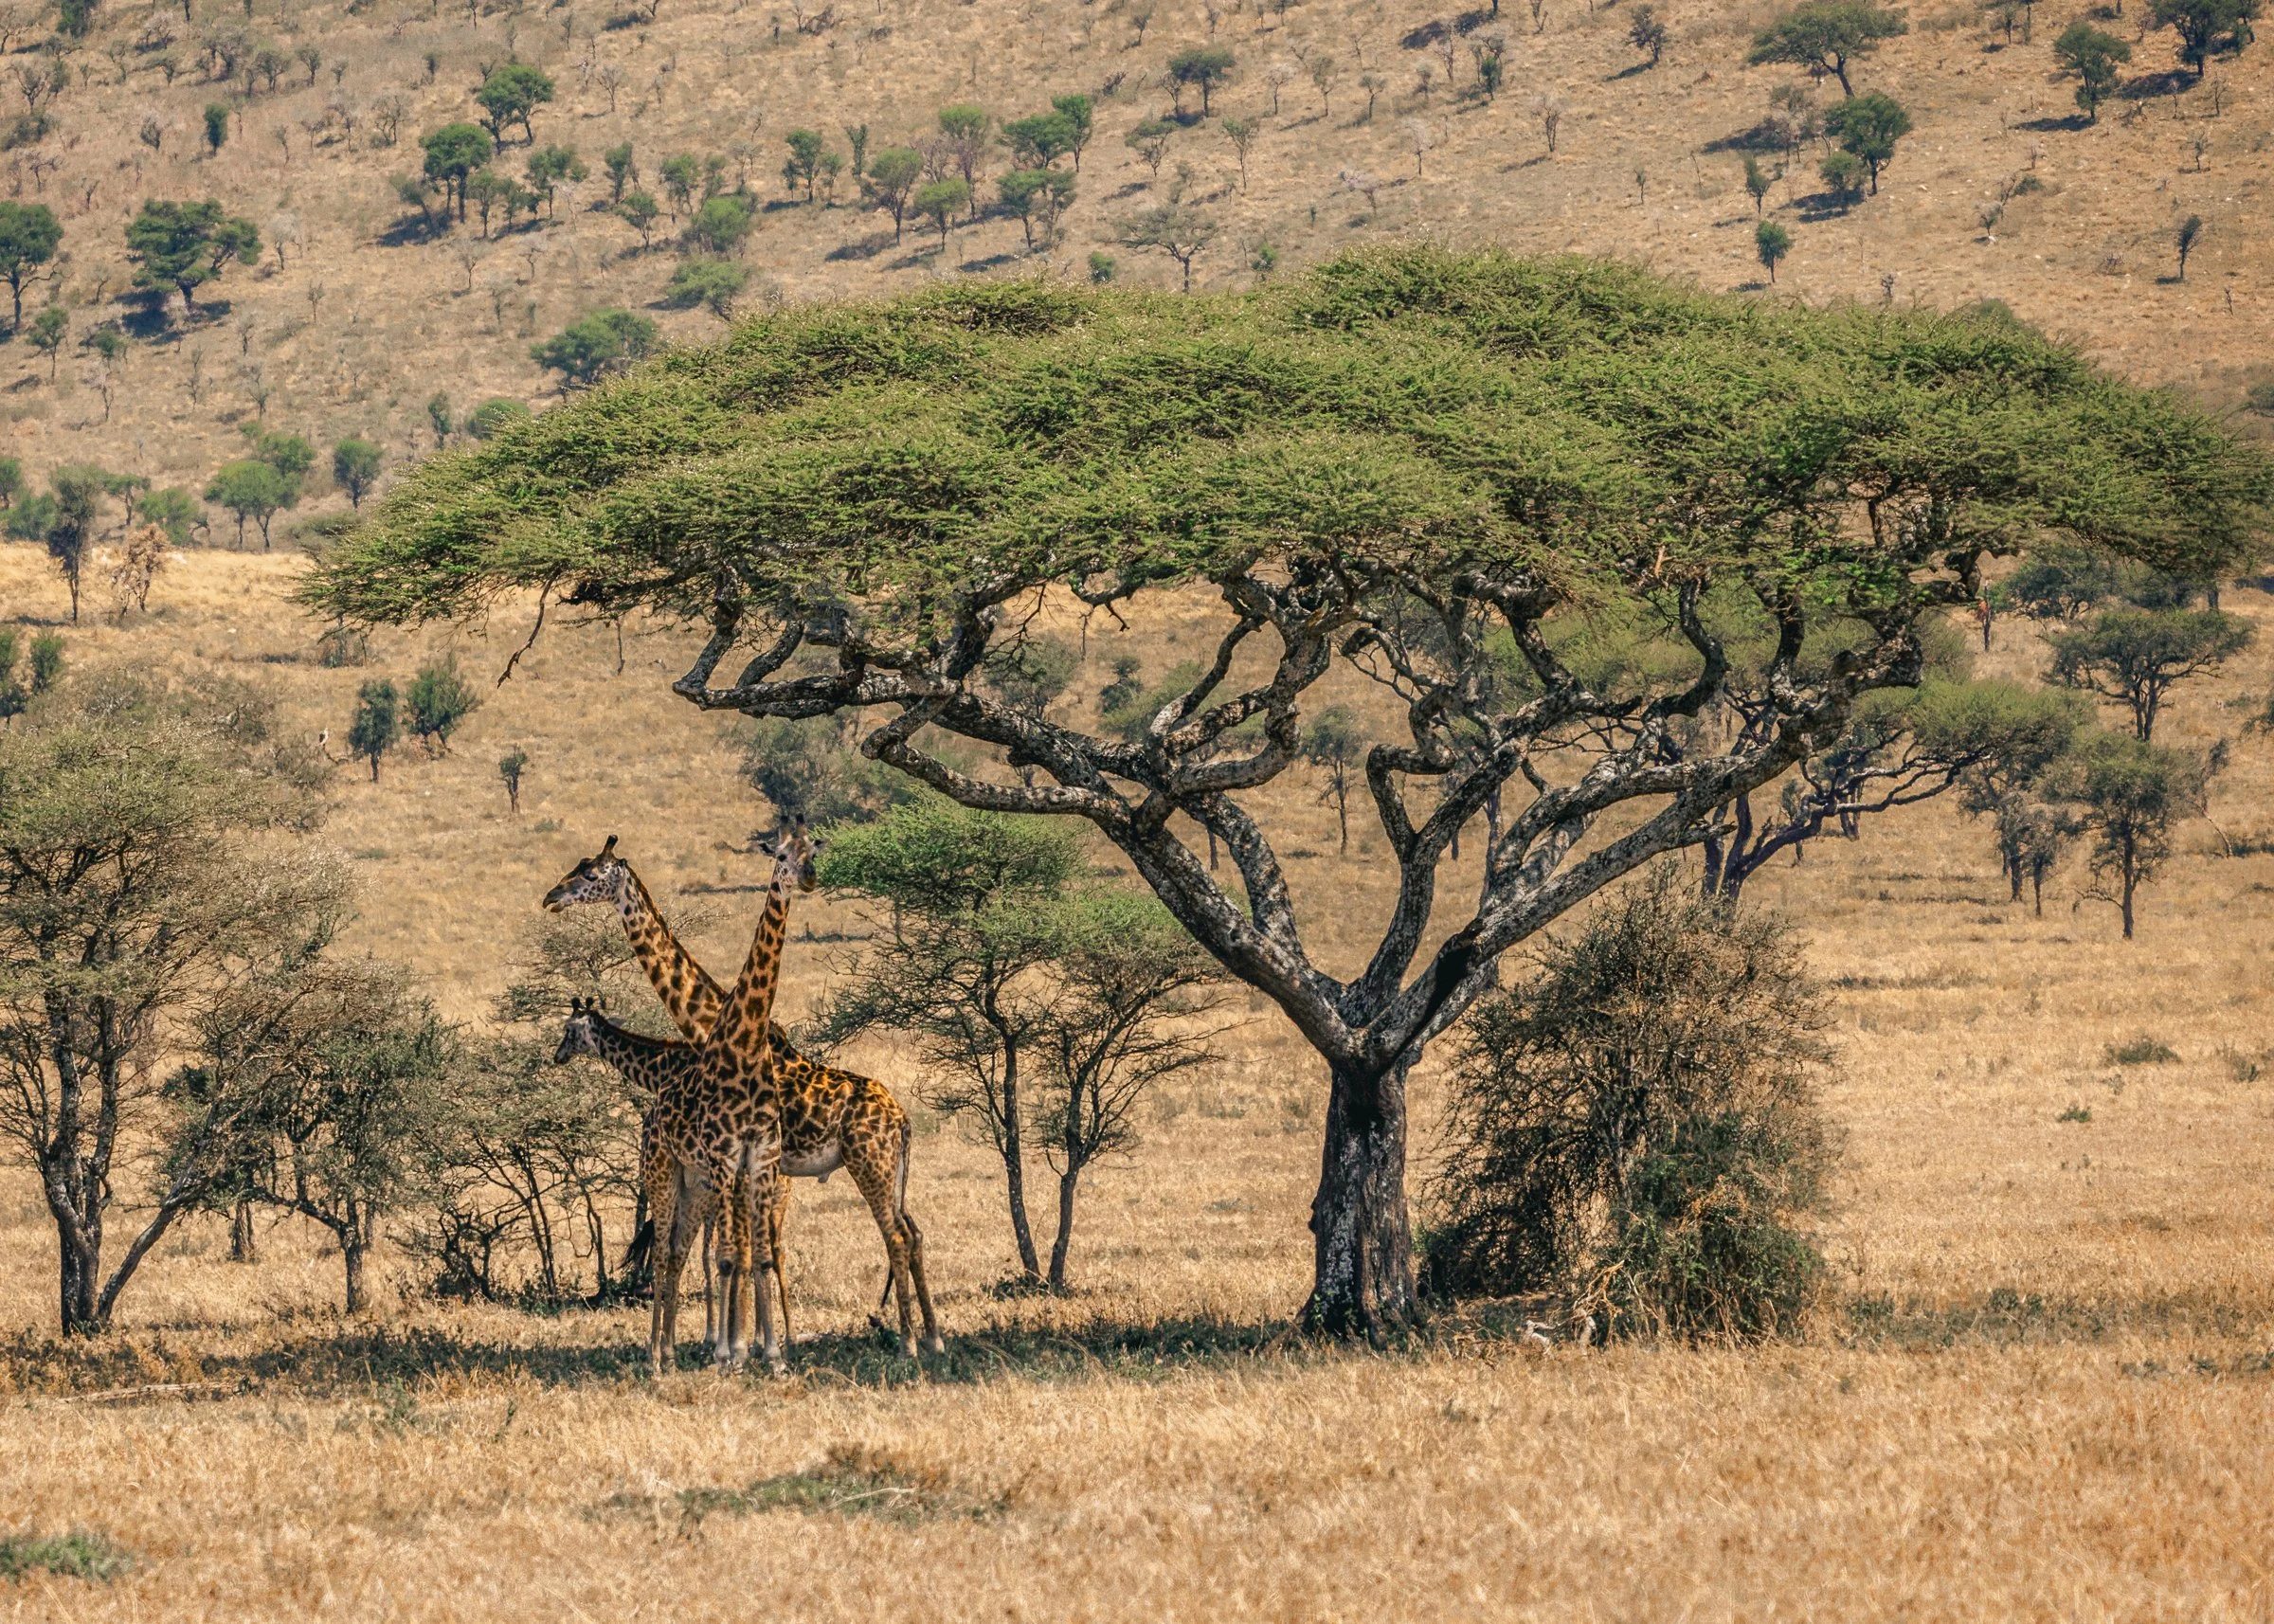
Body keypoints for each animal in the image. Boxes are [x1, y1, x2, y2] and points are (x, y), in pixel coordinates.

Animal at [544, 836, 944, 1357]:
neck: (702, 1028)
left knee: (894, 1235)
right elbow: (744, 1249)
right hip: (890, 1169)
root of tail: (902, 1118)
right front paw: (750, 1341)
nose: (551, 896)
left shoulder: (738, 1160)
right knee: (912, 1232)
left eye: (590, 875)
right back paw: (931, 1336)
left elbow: (731, 1250)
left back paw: (908, 1342)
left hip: (867, 1164)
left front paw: (735, 1343)